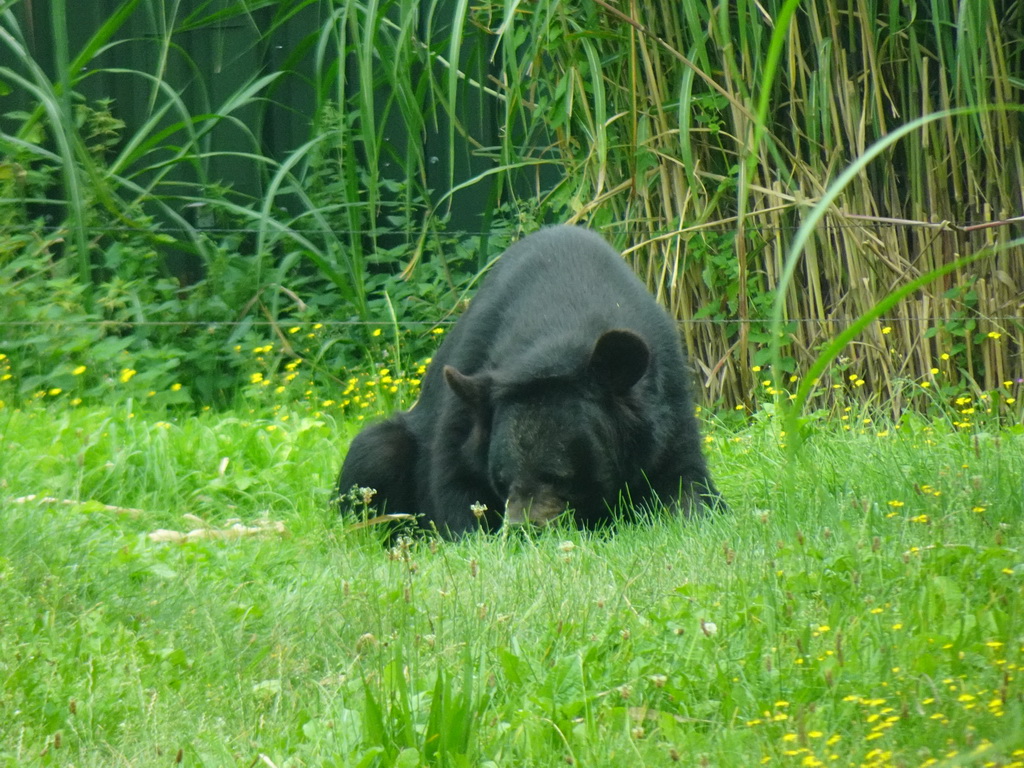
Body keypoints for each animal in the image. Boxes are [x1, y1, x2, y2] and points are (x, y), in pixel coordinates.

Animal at [335, 225, 720, 536]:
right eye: (501, 480)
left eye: (560, 477)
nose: (523, 529)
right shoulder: (469, 392)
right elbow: (454, 480)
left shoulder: (666, 405)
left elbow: (685, 483)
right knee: (375, 449)